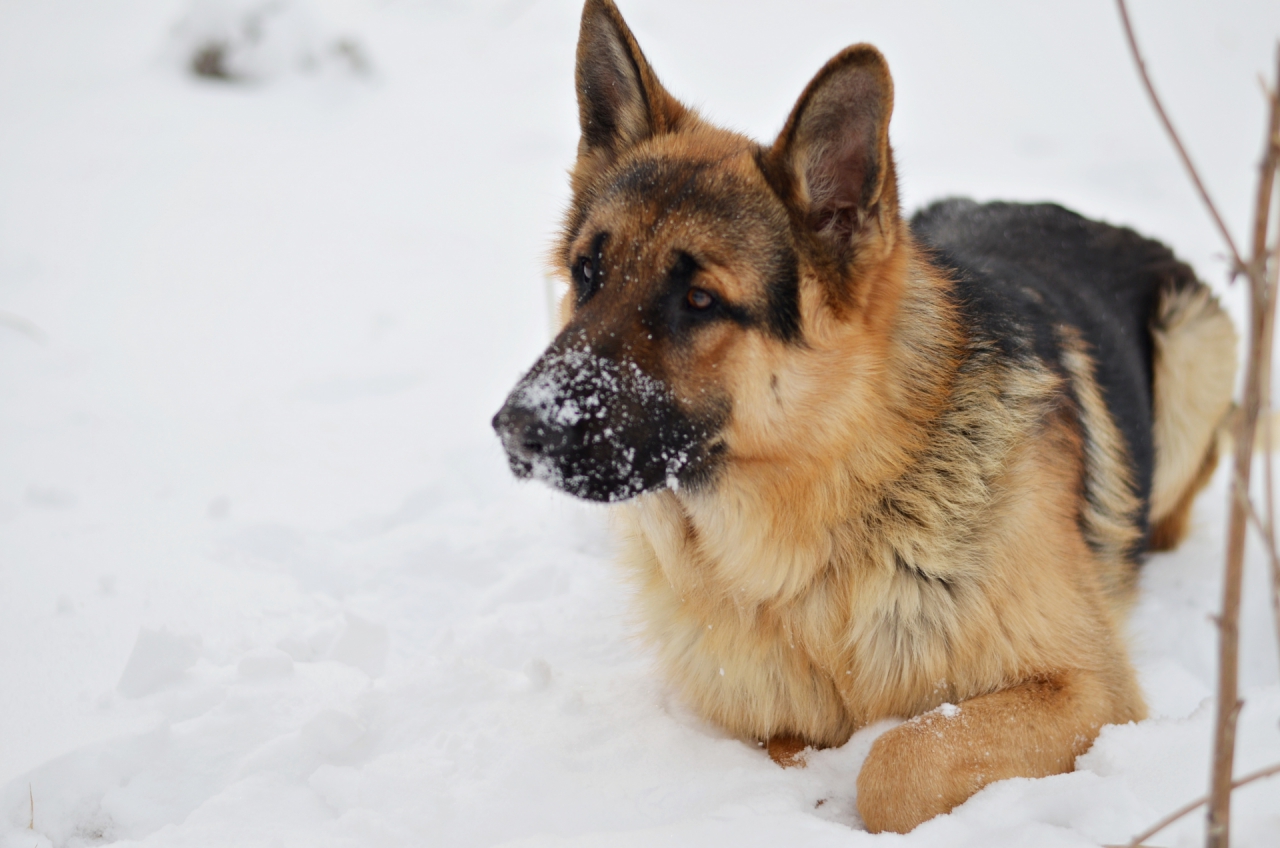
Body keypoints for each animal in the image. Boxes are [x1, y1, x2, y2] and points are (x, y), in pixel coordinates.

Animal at [491, 0, 1239, 835]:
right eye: (588, 273)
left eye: (700, 300)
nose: (515, 428)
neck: (829, 535)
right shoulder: (758, 711)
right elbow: (800, 741)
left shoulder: (1090, 689)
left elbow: (898, 761)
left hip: (1194, 350)